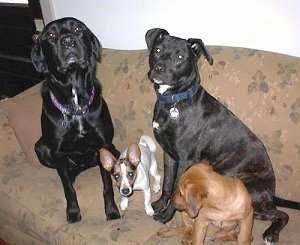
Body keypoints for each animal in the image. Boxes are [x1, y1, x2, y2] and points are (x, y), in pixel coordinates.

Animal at [30, 17, 119, 223]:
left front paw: (112, 210)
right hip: (41, 147)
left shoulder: (103, 145)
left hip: (111, 148)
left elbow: (107, 186)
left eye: (78, 29)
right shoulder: (58, 152)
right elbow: (68, 189)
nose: (68, 41)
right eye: (51, 35)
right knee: (66, 174)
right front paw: (72, 212)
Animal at [146, 28, 300, 243]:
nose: (159, 69)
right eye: (158, 50)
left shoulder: (186, 159)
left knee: (282, 214)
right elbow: (167, 183)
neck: (173, 102)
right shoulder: (169, 154)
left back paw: (271, 233)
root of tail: (271, 192)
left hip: (252, 197)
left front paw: (167, 215)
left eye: (180, 57)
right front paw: (160, 204)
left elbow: (177, 186)